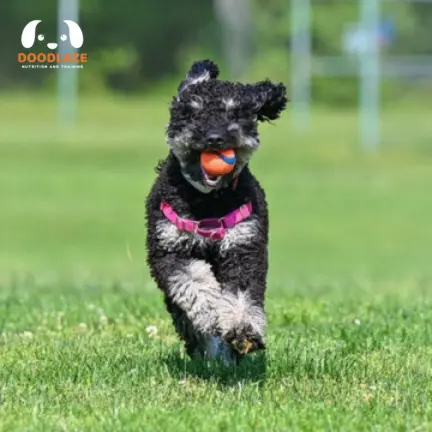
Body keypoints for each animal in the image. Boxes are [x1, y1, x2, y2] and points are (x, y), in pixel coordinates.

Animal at [145, 60, 286, 364]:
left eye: (235, 112)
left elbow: (241, 293)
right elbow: (195, 283)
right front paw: (211, 313)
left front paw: (242, 329)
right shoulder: (171, 252)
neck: (207, 202)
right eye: (192, 112)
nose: (214, 138)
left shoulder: (243, 248)